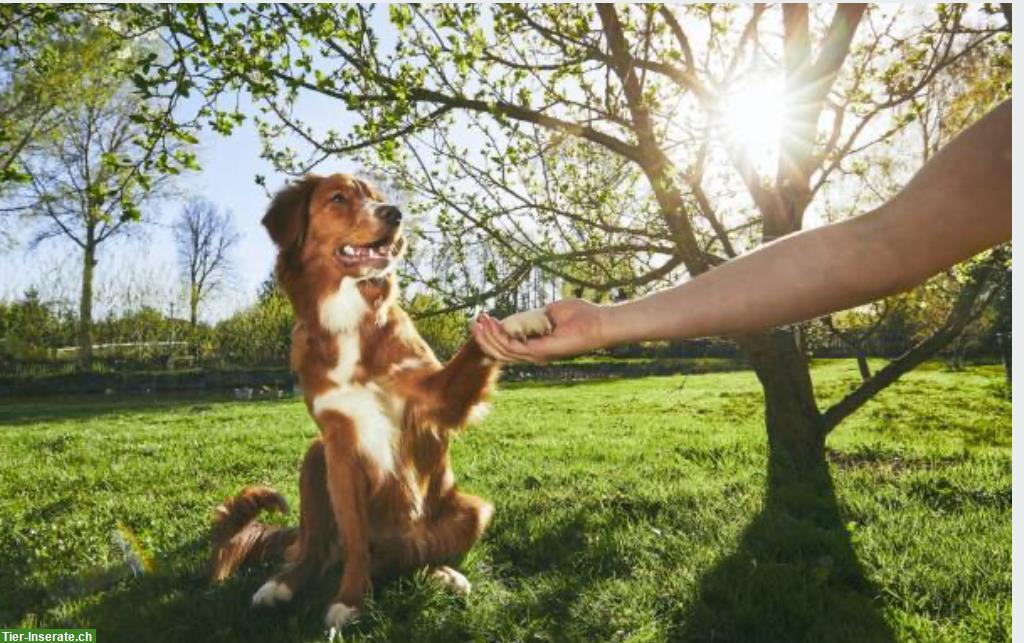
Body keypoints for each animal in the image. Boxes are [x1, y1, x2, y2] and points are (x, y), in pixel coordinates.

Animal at [206, 174, 552, 634]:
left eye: (376, 197)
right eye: (338, 198)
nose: (395, 213)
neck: (350, 319)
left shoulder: (437, 399)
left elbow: (475, 344)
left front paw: (518, 322)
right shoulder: (339, 446)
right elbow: (355, 542)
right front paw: (351, 600)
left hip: (473, 510)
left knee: (409, 559)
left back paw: (445, 575)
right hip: (315, 458)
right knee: (315, 550)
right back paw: (281, 585)